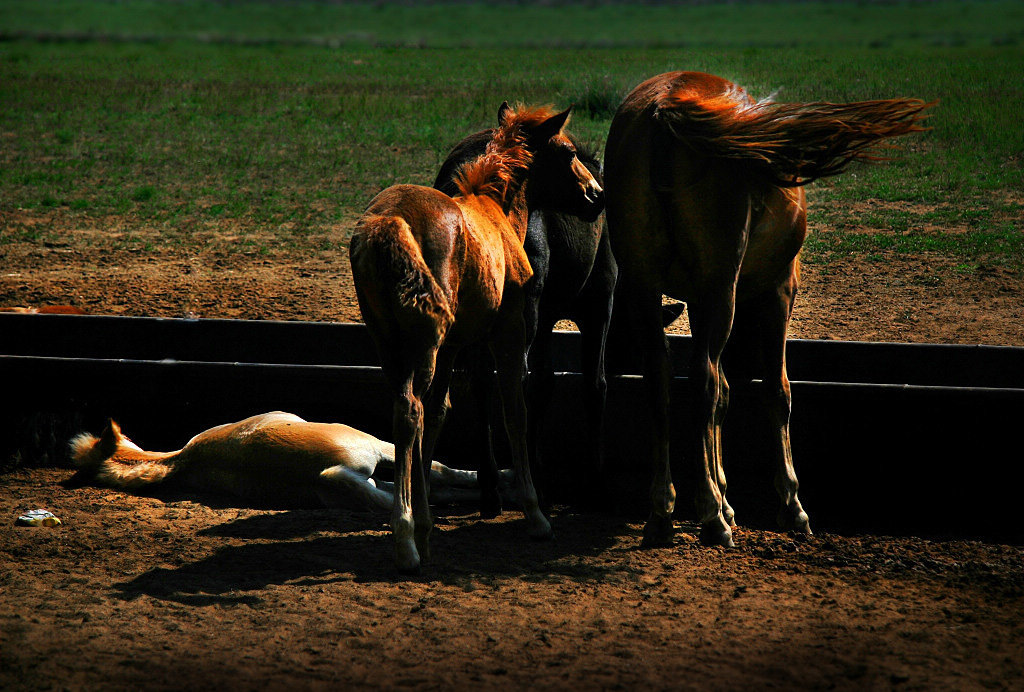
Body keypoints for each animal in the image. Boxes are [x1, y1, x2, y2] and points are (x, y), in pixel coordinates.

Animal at [430, 131, 610, 513]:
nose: (597, 198)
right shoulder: (598, 305)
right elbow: (591, 384)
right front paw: (595, 486)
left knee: (483, 382)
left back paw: (490, 489)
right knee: (512, 383)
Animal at [602, 70, 933, 544]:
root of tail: (666, 107)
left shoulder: (699, 300)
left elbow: (723, 396)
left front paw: (725, 495)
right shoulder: (778, 291)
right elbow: (776, 391)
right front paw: (788, 505)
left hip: (645, 288)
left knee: (662, 383)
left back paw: (663, 513)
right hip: (723, 289)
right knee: (703, 382)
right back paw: (710, 516)